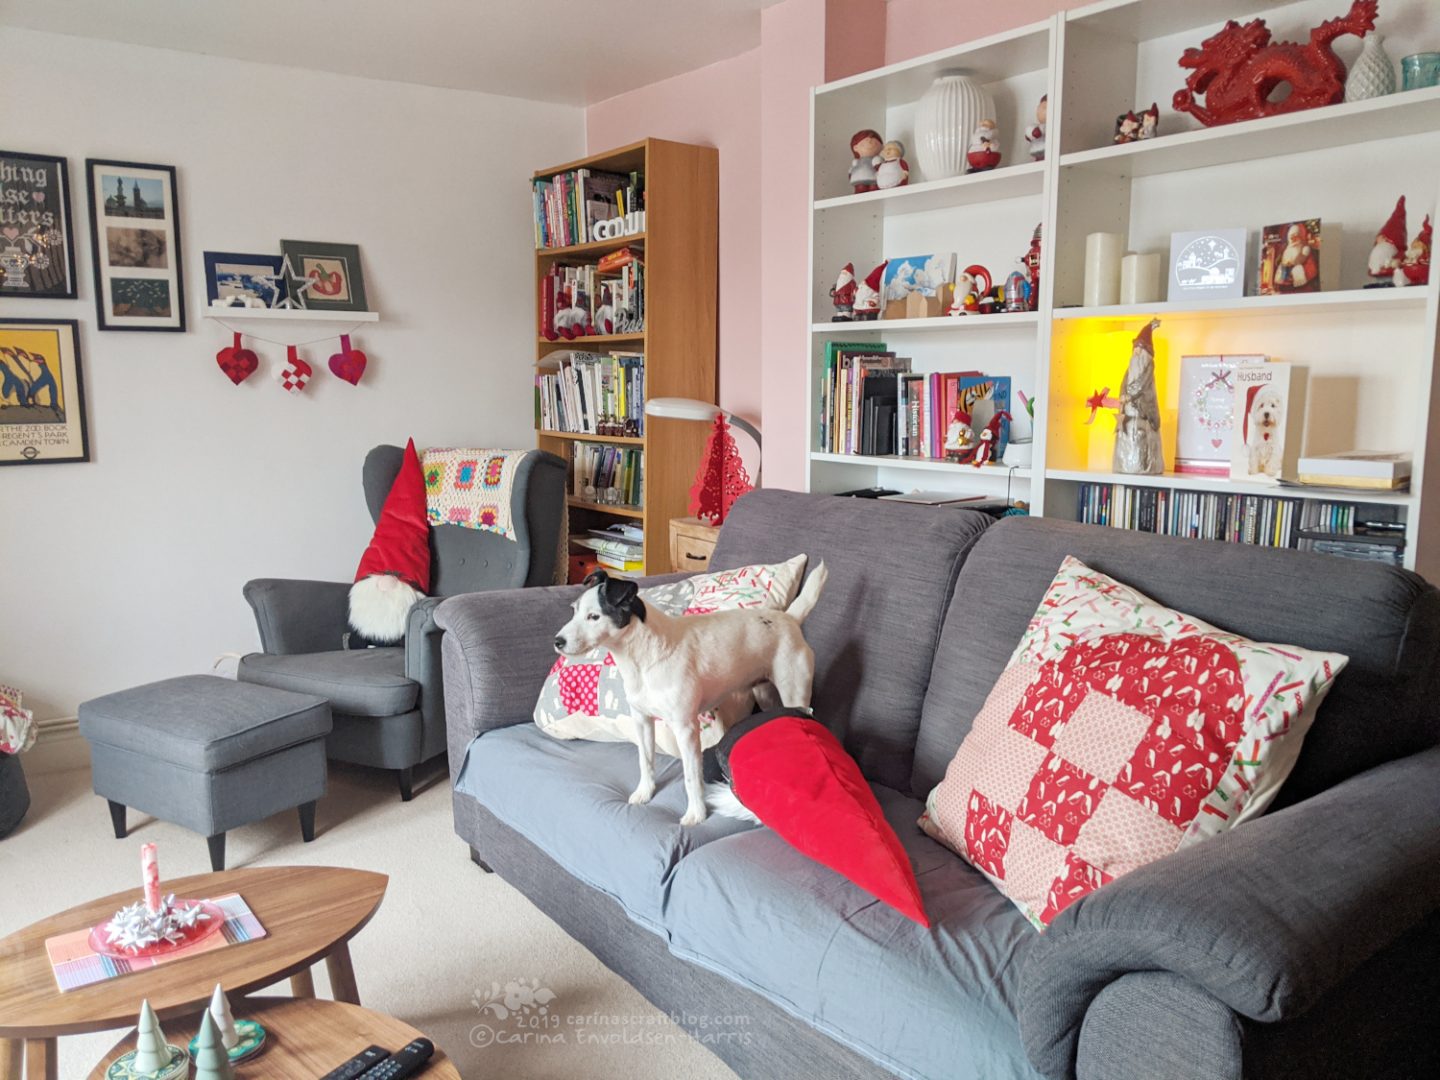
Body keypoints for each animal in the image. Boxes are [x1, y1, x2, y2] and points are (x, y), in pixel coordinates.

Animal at [552, 561, 835, 823]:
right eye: (574, 611)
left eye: (594, 617)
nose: (558, 642)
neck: (643, 657)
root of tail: (790, 618)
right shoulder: (642, 720)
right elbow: (646, 760)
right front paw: (645, 792)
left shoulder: (685, 728)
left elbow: (691, 776)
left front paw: (696, 814)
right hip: (765, 695)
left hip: (794, 692)